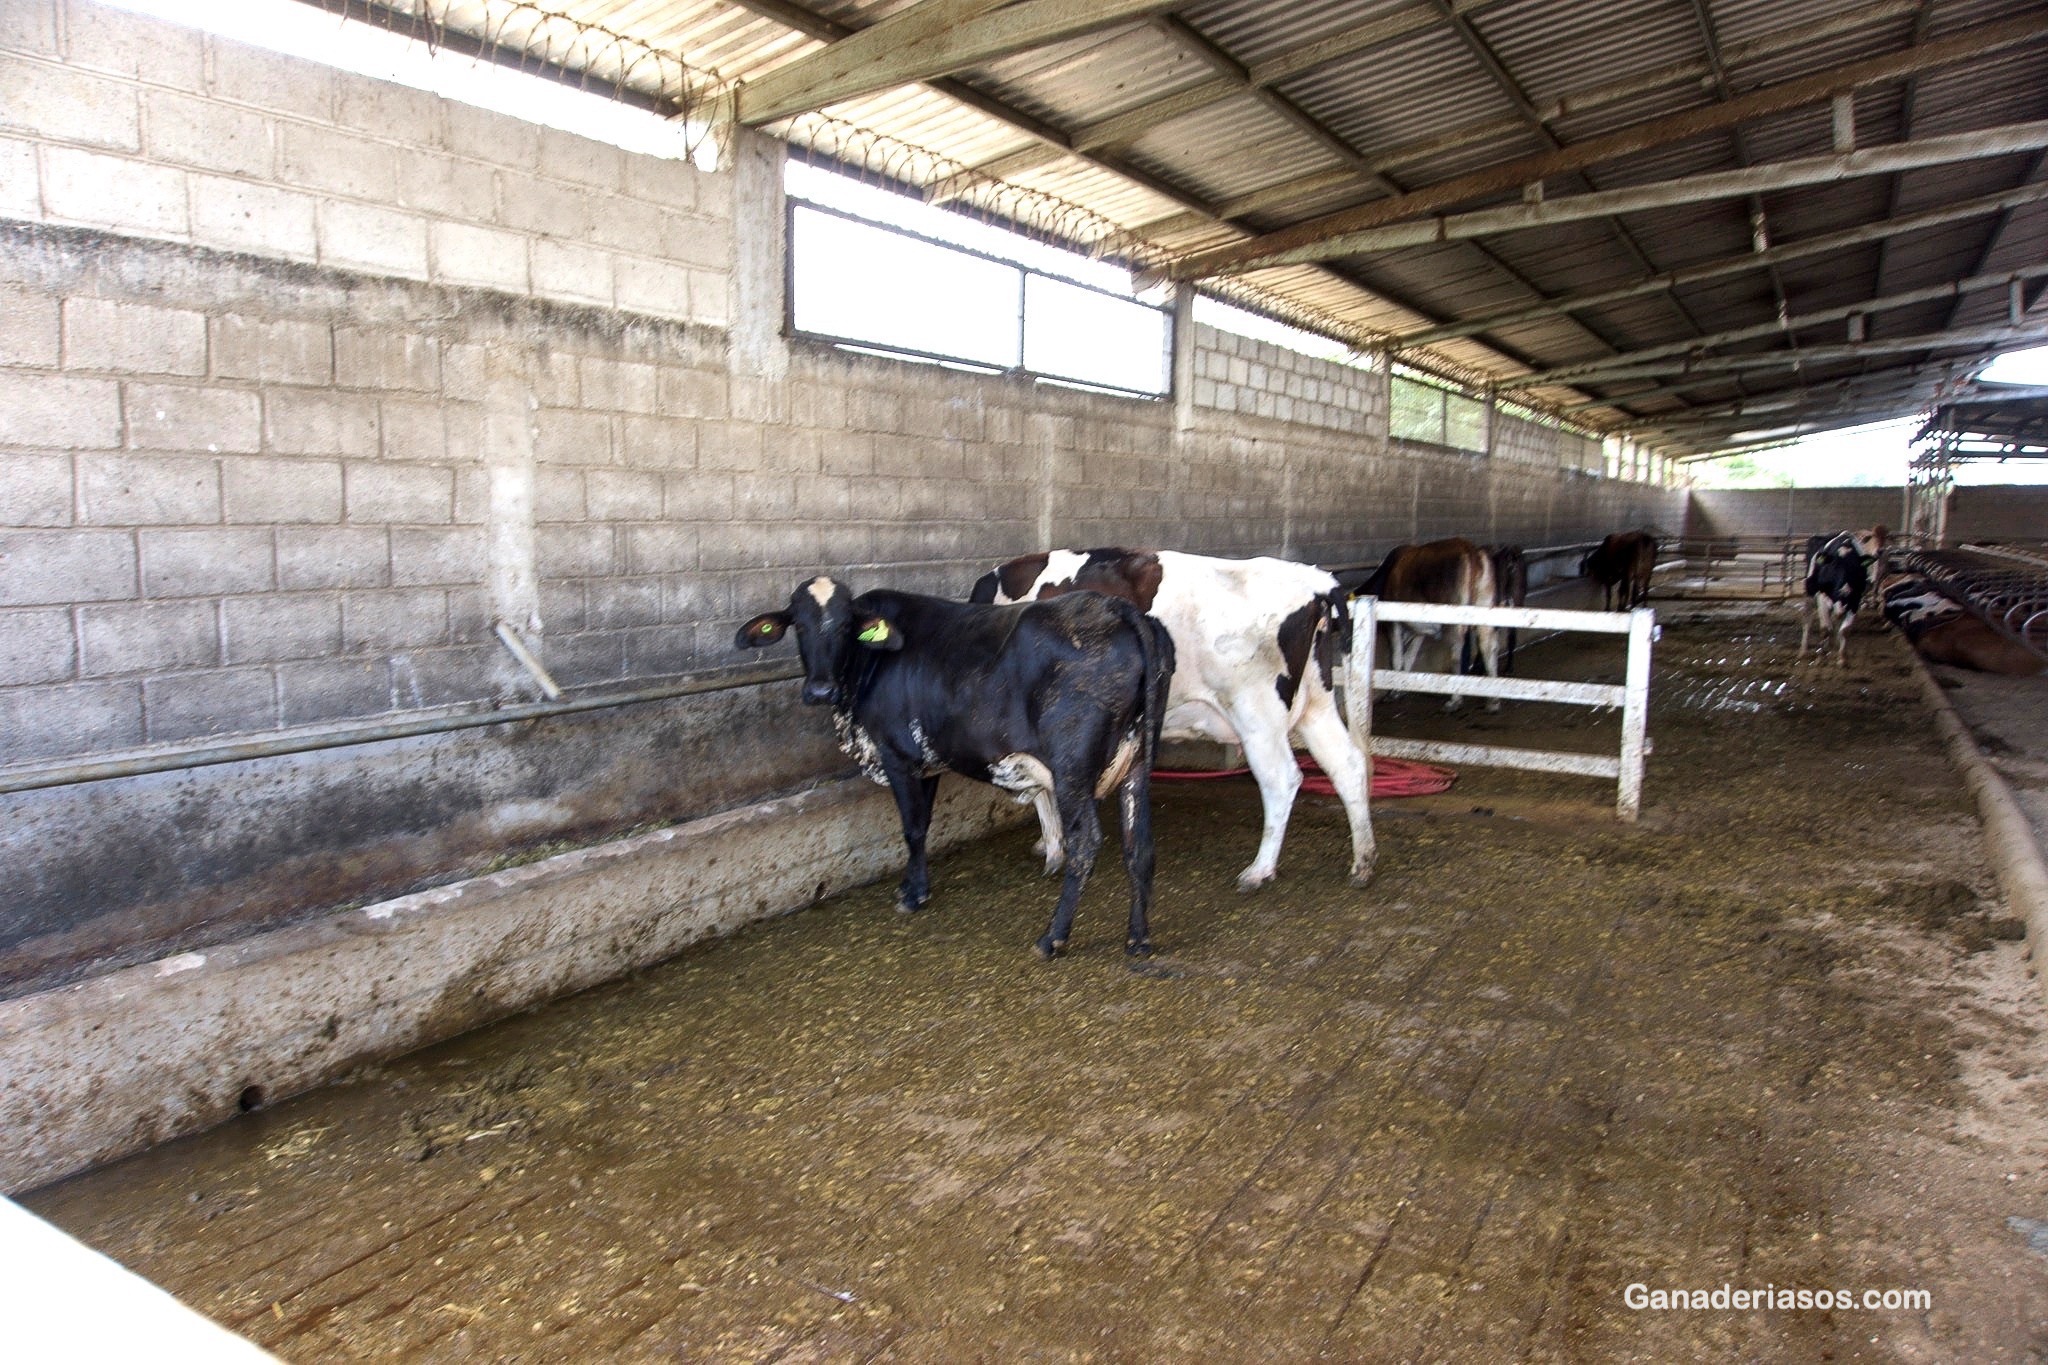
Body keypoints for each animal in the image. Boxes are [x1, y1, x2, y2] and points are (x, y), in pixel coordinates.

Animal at [745, 577, 1179, 961]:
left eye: (846, 626)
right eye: (799, 625)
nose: (820, 691)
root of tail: (1113, 607)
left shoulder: (897, 756)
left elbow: (911, 827)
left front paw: (913, 895)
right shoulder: (928, 762)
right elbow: (923, 825)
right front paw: (912, 885)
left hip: (1072, 767)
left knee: (1086, 842)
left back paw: (1052, 938)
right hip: (1138, 762)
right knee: (1139, 844)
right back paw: (1137, 939)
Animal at [962, 548, 1376, 892]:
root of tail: (1312, 580)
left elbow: (1040, 789)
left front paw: (1053, 848)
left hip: (1256, 713)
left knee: (1282, 780)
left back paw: (1259, 871)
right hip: (1316, 702)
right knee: (1347, 764)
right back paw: (1363, 861)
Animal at [1359, 532, 1507, 712]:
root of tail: (1469, 547)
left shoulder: (1393, 623)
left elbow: (1397, 657)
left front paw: (1394, 691)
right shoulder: (1418, 630)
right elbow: (1409, 657)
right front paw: (1402, 687)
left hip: (1454, 619)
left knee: (1457, 654)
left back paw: (1454, 700)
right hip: (1484, 611)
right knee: (1488, 647)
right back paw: (1493, 701)